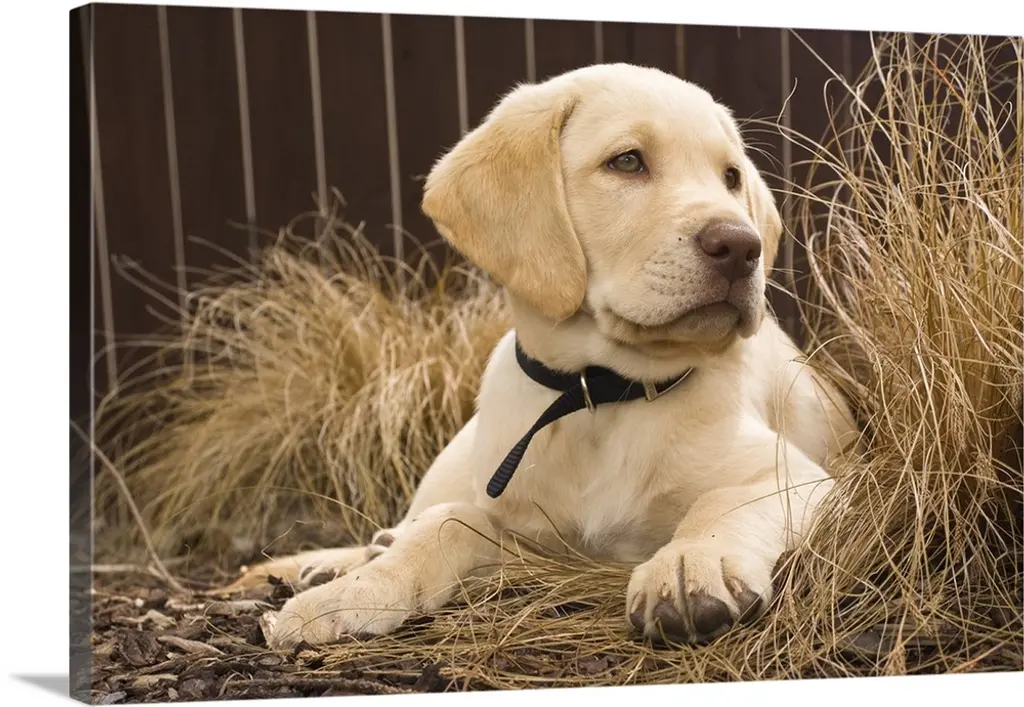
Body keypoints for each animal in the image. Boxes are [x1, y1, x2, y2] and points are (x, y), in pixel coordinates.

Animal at [247, 63, 859, 649]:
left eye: (731, 178)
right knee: (421, 515)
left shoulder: (804, 480)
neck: (601, 392)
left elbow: (719, 504)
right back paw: (342, 563)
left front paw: (691, 563)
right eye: (628, 161)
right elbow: (447, 526)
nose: (741, 246)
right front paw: (350, 595)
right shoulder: (528, 539)